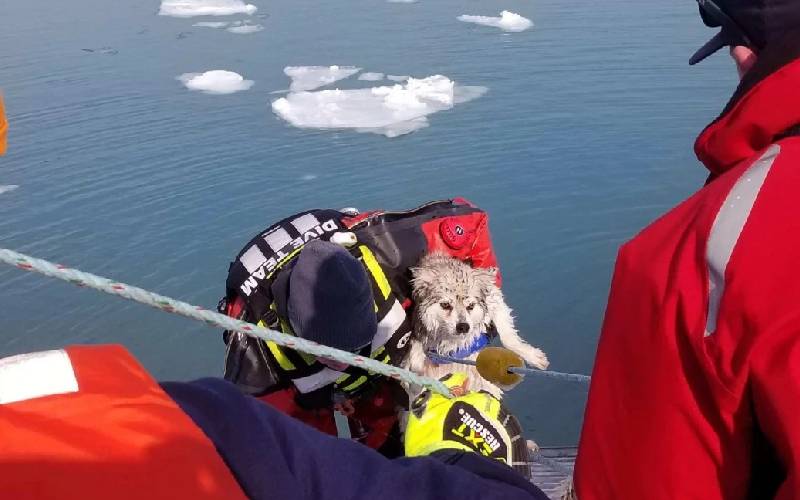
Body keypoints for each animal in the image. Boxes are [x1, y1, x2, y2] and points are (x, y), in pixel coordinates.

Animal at [404, 254, 548, 398]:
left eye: (471, 306)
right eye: (445, 305)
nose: (463, 326)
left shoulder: (494, 299)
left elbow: (507, 337)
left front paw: (532, 356)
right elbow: (415, 360)